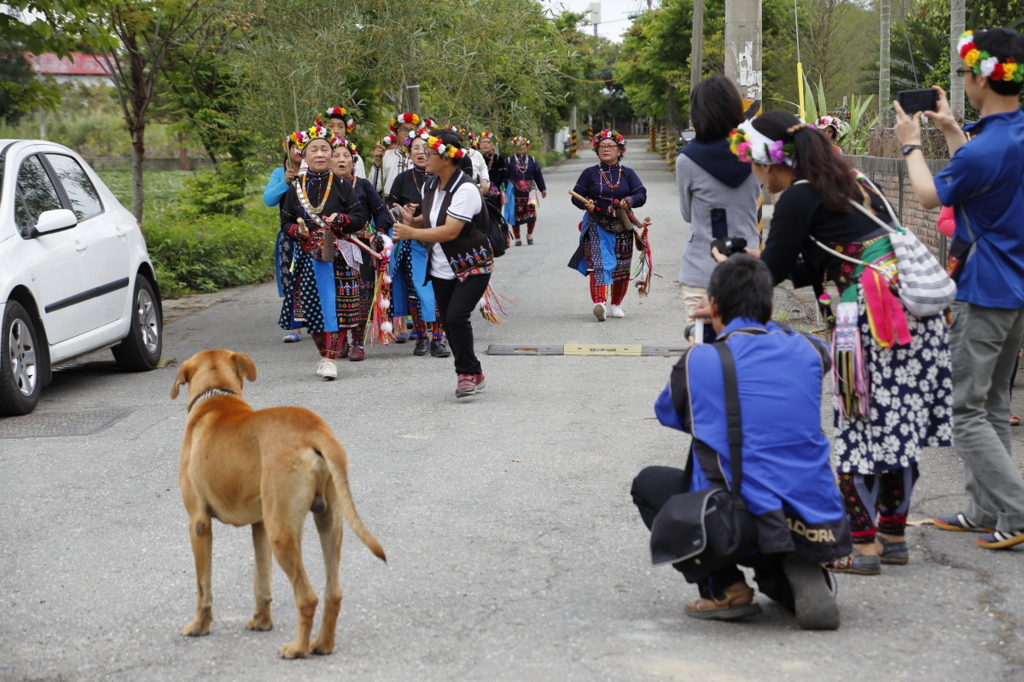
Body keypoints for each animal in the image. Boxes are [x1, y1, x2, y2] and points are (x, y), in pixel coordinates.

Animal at [172, 348, 387, 655]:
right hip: (328, 522)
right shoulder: (260, 525)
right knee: (333, 592)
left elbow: (203, 587)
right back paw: (322, 644)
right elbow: (262, 582)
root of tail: (314, 430)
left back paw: (298, 649)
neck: (216, 396)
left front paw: (199, 626)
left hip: (281, 533)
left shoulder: (199, 524)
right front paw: (262, 621)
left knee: (307, 597)